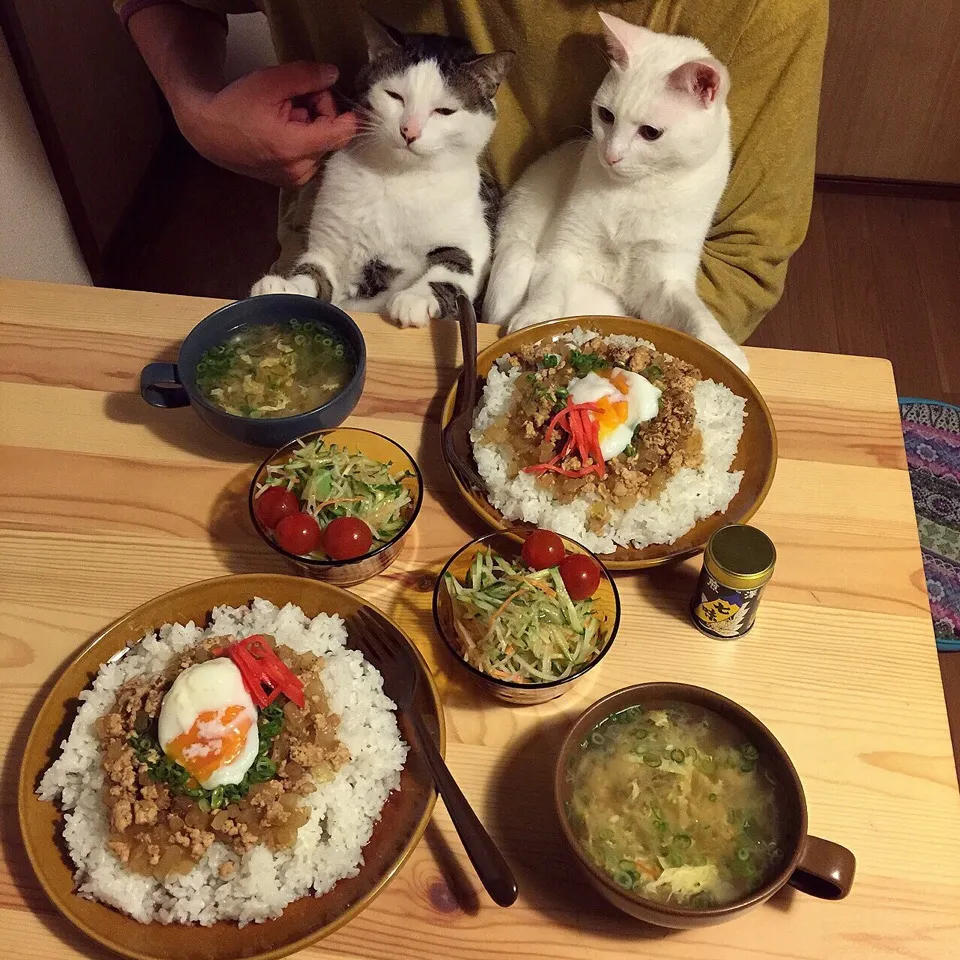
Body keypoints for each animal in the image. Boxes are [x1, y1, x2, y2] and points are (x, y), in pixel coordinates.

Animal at [251, 14, 512, 330]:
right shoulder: (328, 244)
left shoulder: (473, 238)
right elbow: (314, 273)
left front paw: (414, 299)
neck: (395, 177)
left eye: (444, 111)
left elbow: (453, 268)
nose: (409, 130)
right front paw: (284, 286)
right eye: (394, 96)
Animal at [484, 15, 748, 376]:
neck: (637, 192)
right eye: (606, 115)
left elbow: (695, 314)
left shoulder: (664, 276)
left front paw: (726, 351)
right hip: (518, 255)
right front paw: (533, 320)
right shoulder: (565, 250)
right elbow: (549, 288)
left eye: (650, 133)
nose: (611, 155)